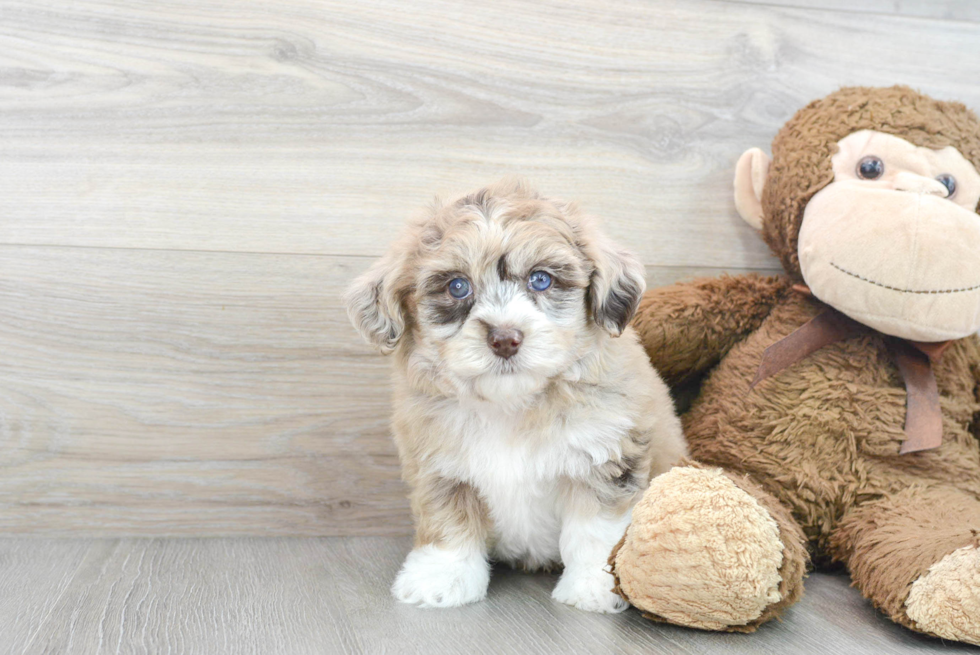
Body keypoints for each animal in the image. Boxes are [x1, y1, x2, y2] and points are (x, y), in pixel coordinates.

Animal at [348, 181, 684, 616]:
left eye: (540, 280)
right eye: (458, 286)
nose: (505, 338)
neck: (512, 403)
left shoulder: (606, 455)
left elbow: (595, 528)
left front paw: (594, 586)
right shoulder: (439, 466)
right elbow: (448, 523)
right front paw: (440, 579)